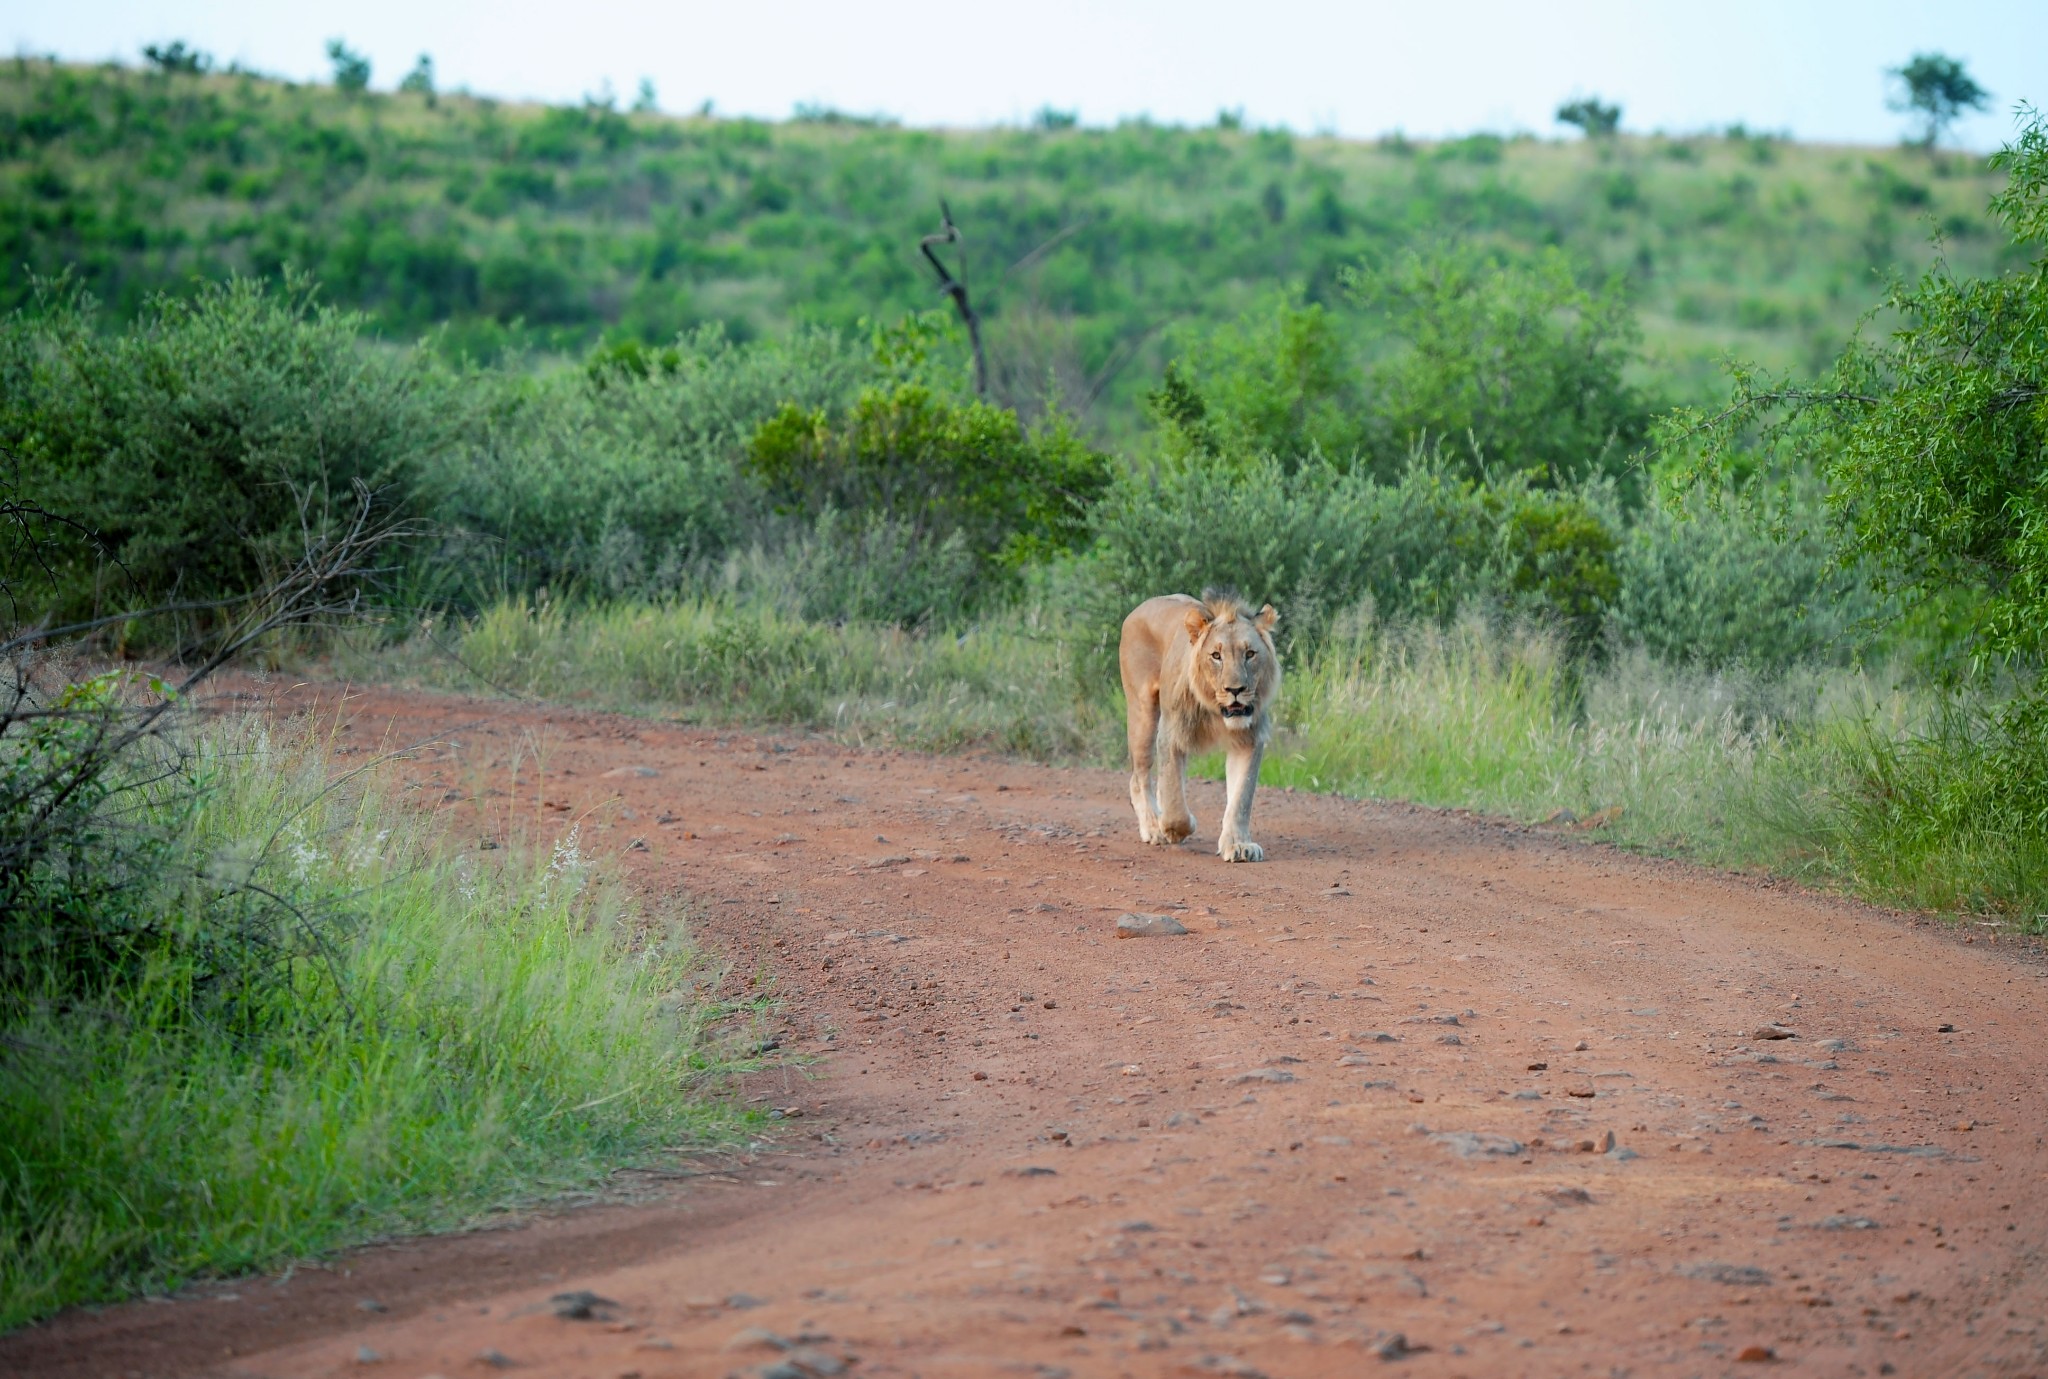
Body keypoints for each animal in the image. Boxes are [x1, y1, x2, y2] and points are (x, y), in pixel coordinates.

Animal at [1122, 590, 1277, 860]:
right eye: (1216, 656)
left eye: (1250, 654)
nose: (1235, 690)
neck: (1215, 711)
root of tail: (1139, 608)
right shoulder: (1171, 734)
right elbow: (1175, 800)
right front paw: (1174, 830)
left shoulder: (1249, 739)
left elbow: (1241, 798)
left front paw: (1238, 845)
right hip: (1143, 713)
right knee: (1139, 778)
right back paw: (1154, 828)